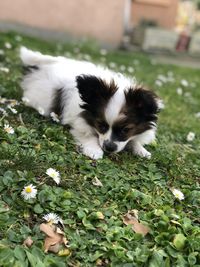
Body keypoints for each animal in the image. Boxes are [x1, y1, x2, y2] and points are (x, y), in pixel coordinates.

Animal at [19, 47, 162, 160]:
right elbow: (88, 135)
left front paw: (141, 150)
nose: (109, 147)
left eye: (126, 130)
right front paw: (94, 150)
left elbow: (133, 140)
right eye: (100, 125)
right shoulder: (79, 122)